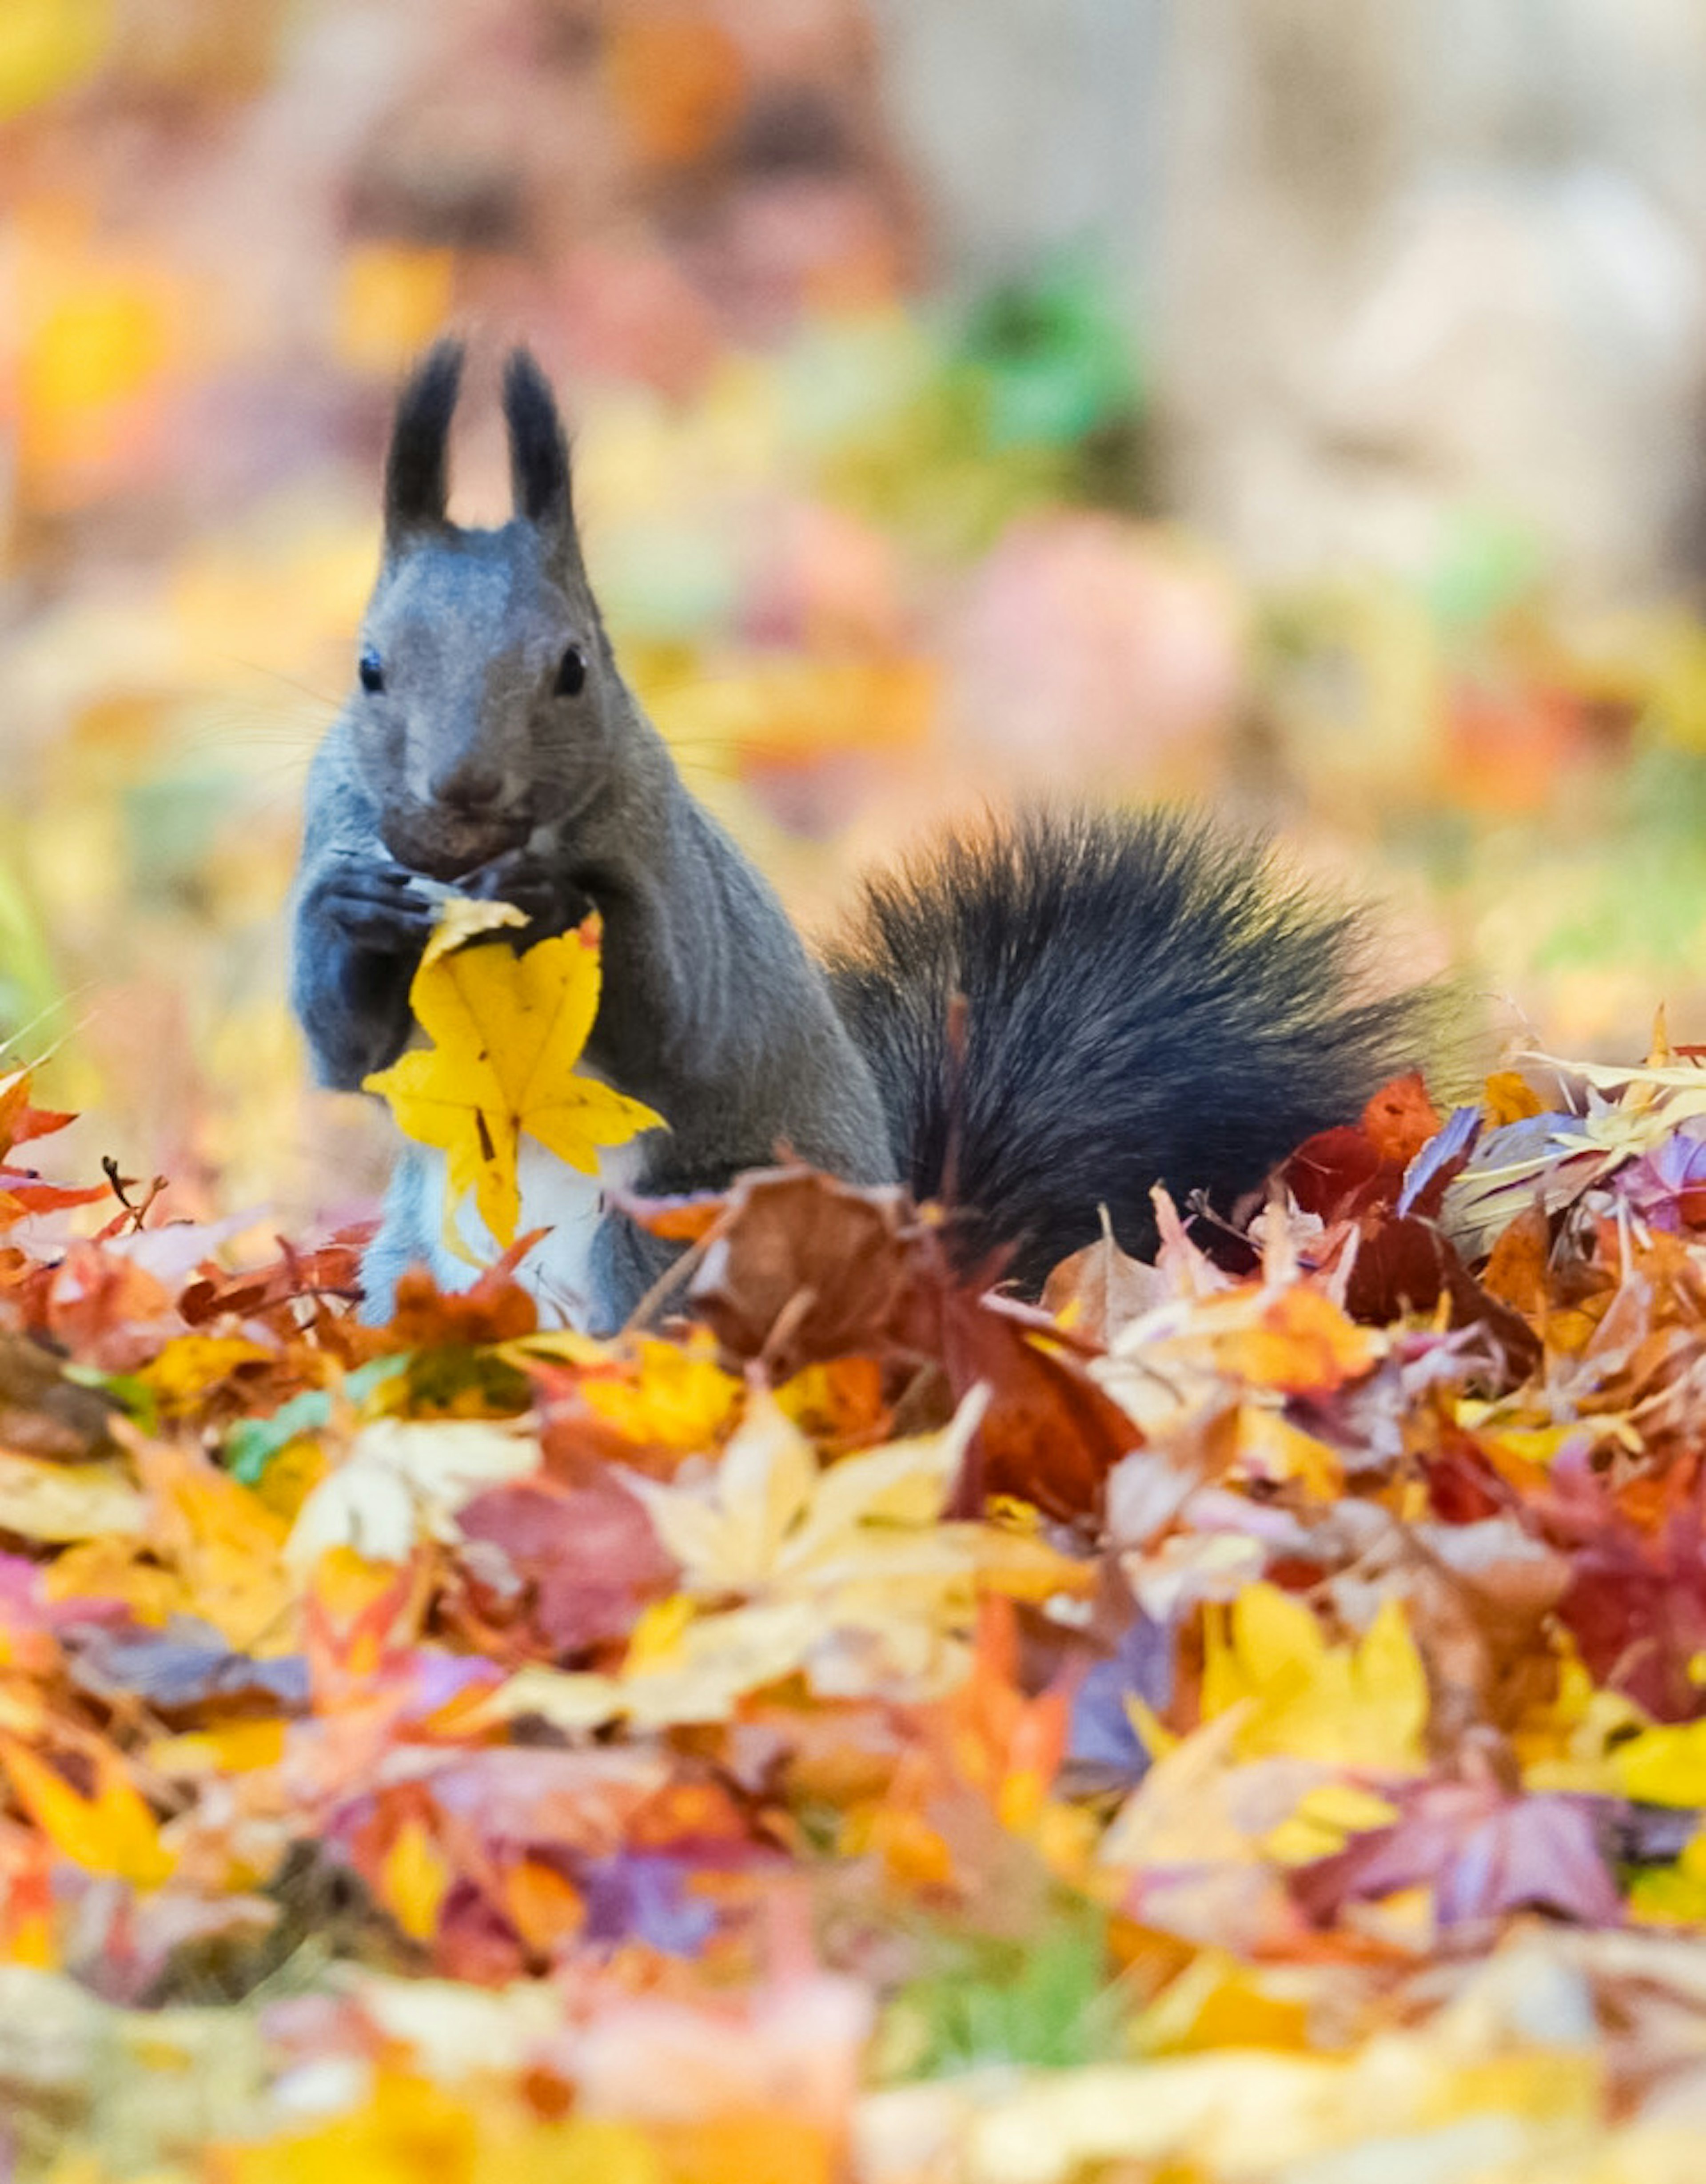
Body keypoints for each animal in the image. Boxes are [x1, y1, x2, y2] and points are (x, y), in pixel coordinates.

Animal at [292, 341, 1442, 1328]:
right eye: (369, 667)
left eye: (573, 668)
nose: (462, 789)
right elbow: (343, 1052)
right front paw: (351, 910)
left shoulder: (670, 869)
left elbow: (680, 1024)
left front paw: (560, 902)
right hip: (413, 1266)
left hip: (683, 1234)